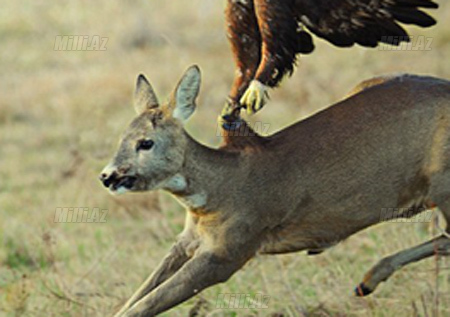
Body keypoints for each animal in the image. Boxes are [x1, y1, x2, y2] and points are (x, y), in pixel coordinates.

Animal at [100, 65, 450, 314]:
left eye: (146, 143)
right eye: (121, 138)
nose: (107, 176)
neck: (219, 188)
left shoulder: (232, 248)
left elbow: (143, 306)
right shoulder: (187, 239)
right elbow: (138, 295)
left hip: (442, 180)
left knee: (447, 237)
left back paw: (368, 280)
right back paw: (365, 282)